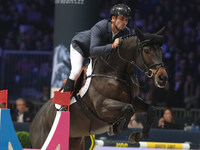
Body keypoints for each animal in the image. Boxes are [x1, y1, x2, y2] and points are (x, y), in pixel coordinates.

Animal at [29, 26, 167, 149]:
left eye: (161, 50)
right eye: (146, 50)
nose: (162, 78)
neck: (114, 73)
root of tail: (37, 116)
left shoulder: (133, 100)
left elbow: (151, 110)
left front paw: (136, 136)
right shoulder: (102, 106)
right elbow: (129, 108)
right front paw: (116, 128)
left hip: (74, 141)